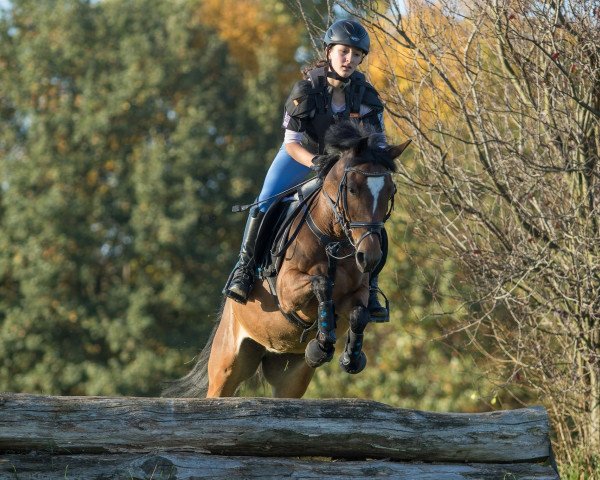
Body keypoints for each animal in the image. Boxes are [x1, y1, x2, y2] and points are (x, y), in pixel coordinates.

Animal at [162, 120, 410, 398]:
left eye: (390, 191)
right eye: (352, 189)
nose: (369, 256)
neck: (332, 237)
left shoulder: (358, 292)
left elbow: (359, 313)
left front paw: (350, 357)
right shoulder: (286, 291)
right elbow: (322, 282)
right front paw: (323, 342)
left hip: (291, 374)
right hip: (227, 365)